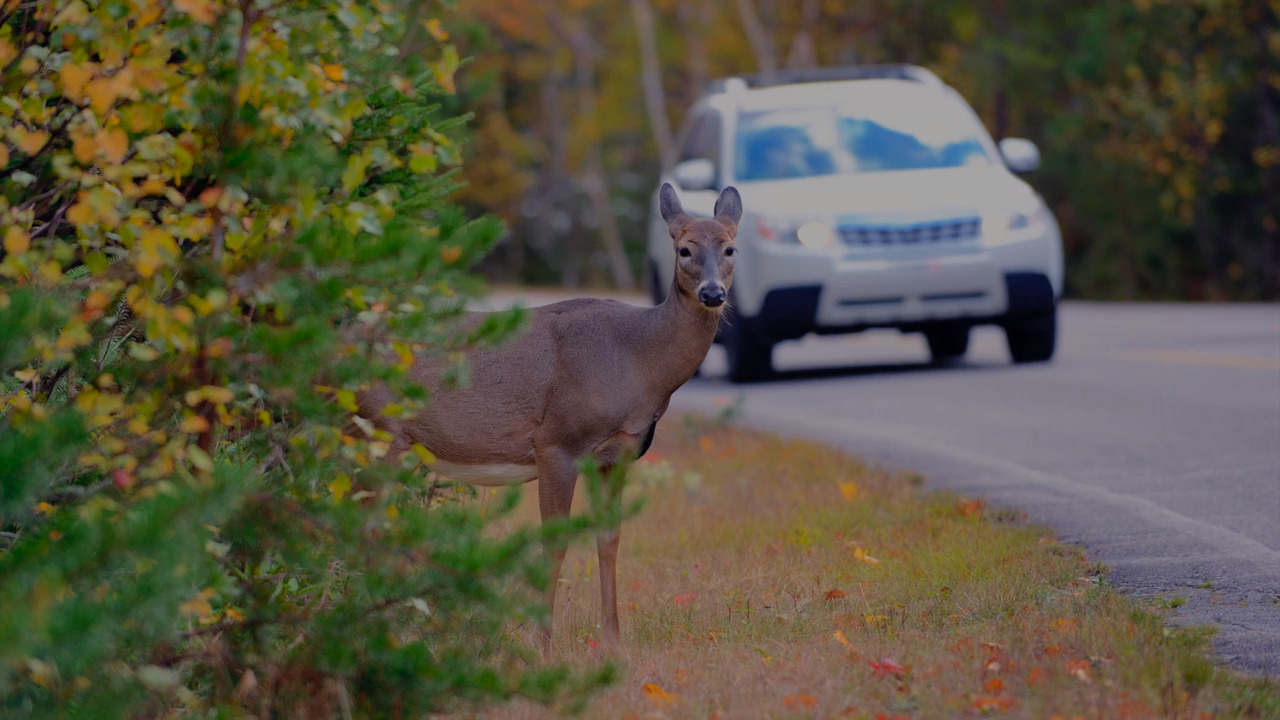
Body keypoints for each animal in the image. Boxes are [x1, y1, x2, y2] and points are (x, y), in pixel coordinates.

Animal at [356, 183, 742, 654]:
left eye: (730, 248)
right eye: (684, 249)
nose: (712, 294)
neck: (636, 359)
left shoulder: (617, 453)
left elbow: (609, 539)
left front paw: (613, 641)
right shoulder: (557, 442)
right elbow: (554, 543)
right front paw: (541, 644)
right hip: (377, 432)